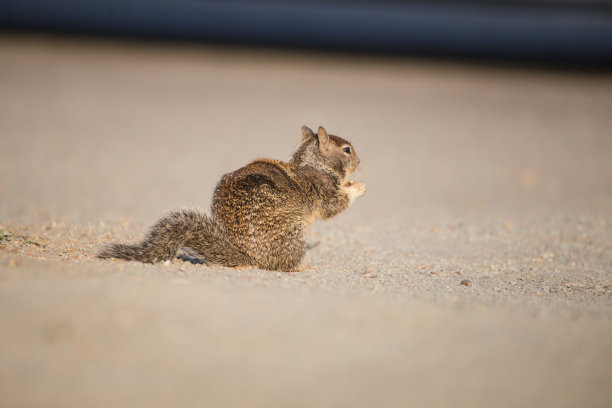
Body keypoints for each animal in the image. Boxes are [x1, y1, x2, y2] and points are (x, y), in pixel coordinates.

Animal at [95, 124, 364, 270]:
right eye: (347, 150)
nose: (360, 161)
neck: (312, 164)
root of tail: (249, 257)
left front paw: (352, 183)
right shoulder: (322, 190)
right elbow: (335, 205)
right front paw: (358, 186)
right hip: (292, 235)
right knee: (282, 265)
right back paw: (302, 266)